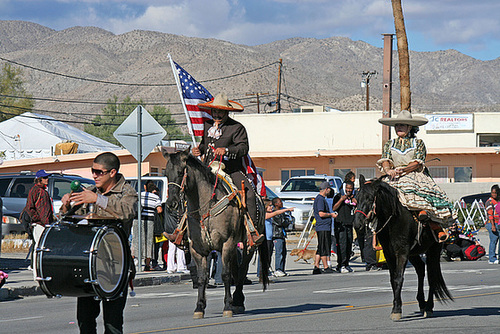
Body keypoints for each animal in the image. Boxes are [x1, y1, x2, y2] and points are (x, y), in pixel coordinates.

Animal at [164, 149, 268, 318]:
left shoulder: (227, 242)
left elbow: (225, 275)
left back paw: (237, 301)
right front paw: (199, 307)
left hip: (248, 245)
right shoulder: (197, 249)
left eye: (180, 172)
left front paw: (227, 307)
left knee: (241, 271)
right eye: (166, 174)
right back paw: (236, 301)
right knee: (235, 269)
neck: (205, 207)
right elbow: (202, 277)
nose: (171, 203)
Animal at [352, 175, 454, 320]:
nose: (357, 224)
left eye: (370, 198)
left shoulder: (402, 252)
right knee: (421, 269)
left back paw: (428, 307)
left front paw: (396, 310)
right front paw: (396, 306)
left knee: (431, 275)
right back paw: (422, 303)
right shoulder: (389, 253)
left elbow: (399, 278)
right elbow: (392, 279)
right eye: (357, 198)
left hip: (433, 250)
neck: (394, 219)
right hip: (414, 253)